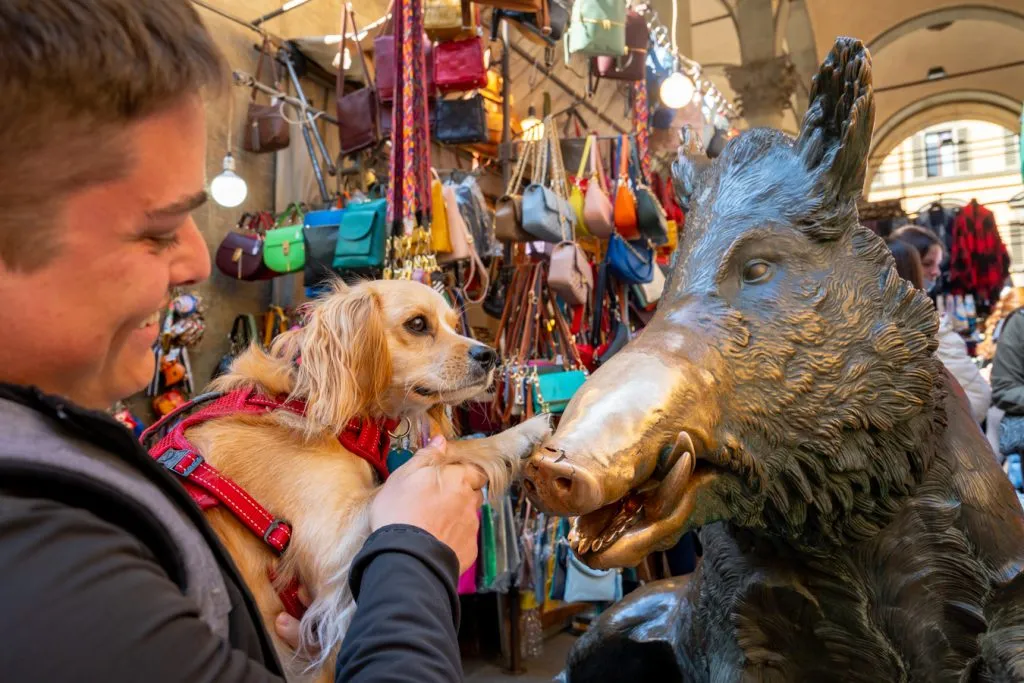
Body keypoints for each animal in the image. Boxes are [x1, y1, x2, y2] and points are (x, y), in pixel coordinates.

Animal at [177, 280, 552, 679]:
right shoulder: (331, 546)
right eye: (417, 324)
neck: (307, 405)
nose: (490, 355)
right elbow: (443, 455)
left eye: (454, 323)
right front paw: (520, 434)